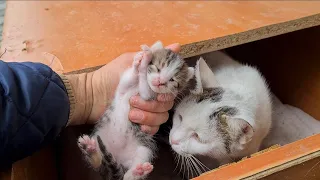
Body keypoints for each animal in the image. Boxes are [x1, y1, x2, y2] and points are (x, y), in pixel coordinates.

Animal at [77, 41, 194, 180]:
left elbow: (145, 91)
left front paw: (143, 64)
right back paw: (91, 150)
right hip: (97, 136)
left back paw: (137, 172)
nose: (159, 82)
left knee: (127, 173)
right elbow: (129, 77)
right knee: (98, 164)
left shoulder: (148, 96)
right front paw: (140, 59)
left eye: (172, 80)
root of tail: (118, 159)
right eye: (158, 68)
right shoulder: (123, 87)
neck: (137, 88)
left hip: (144, 149)